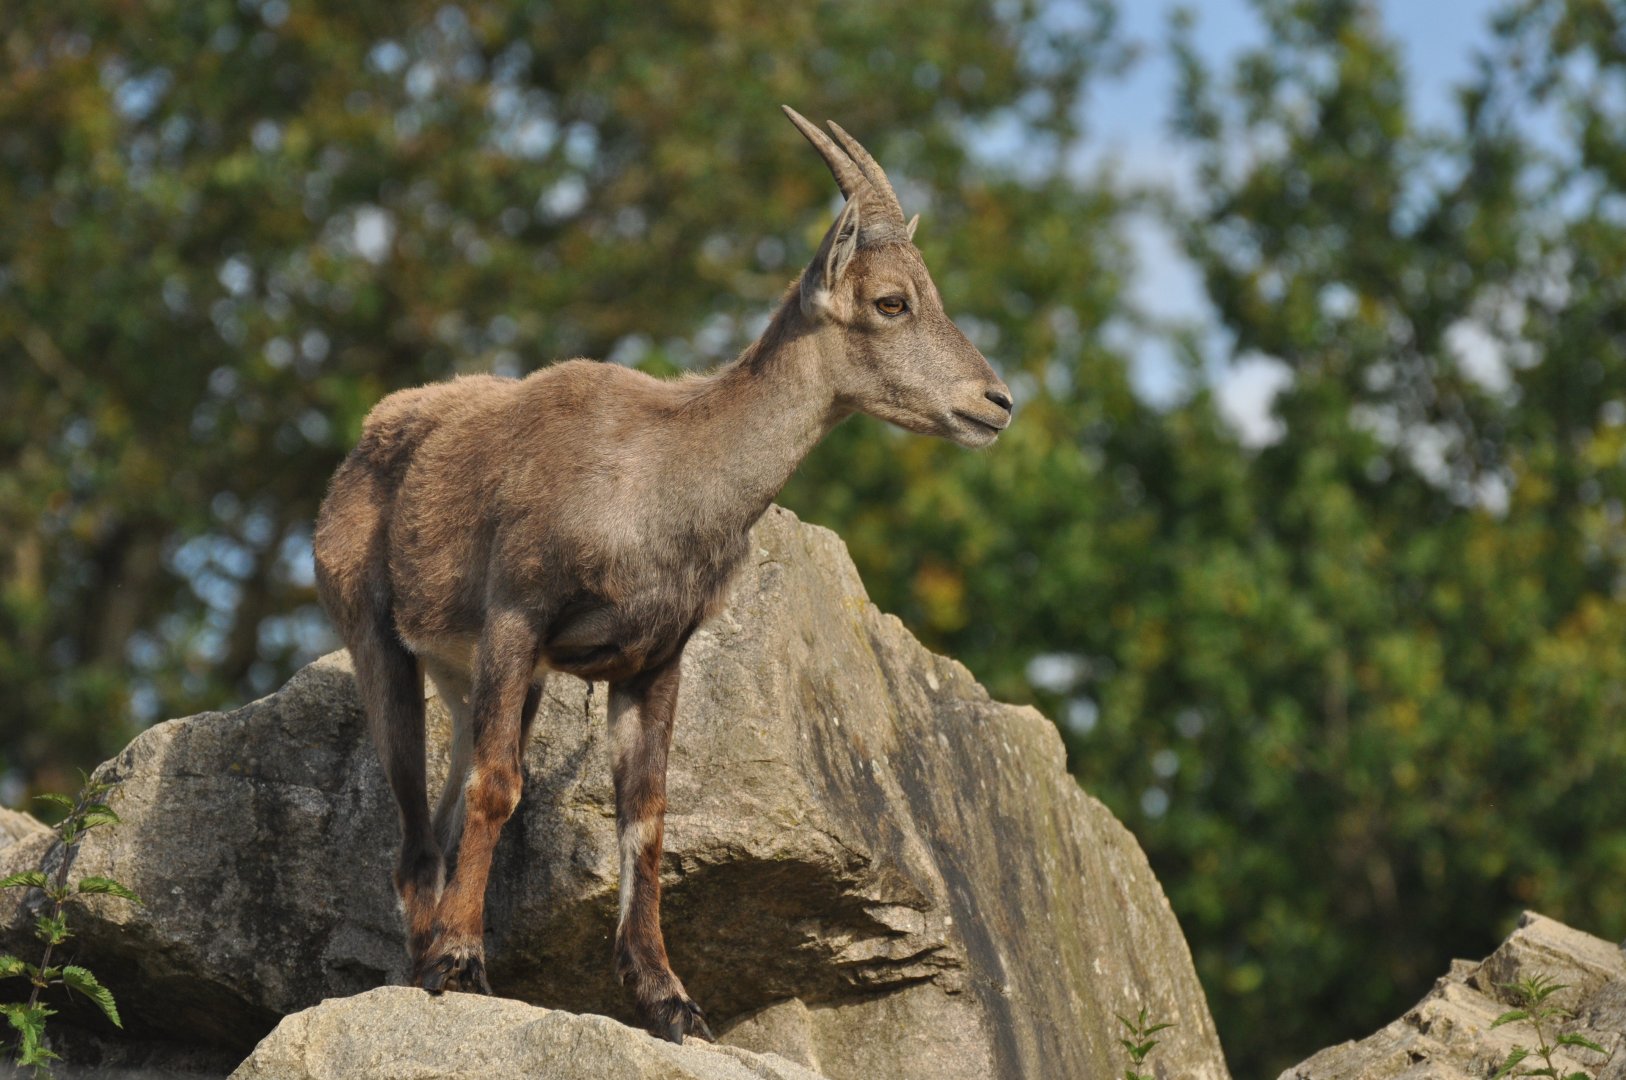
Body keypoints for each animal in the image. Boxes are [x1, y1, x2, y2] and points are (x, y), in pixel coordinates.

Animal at [312, 105, 1013, 1043]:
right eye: (891, 301)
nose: (996, 403)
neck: (662, 472)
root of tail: (364, 444)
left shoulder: (655, 659)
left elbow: (644, 822)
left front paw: (670, 1000)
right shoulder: (517, 614)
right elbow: (503, 786)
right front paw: (464, 964)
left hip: (471, 679)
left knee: (447, 808)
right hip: (380, 638)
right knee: (418, 834)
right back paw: (434, 958)